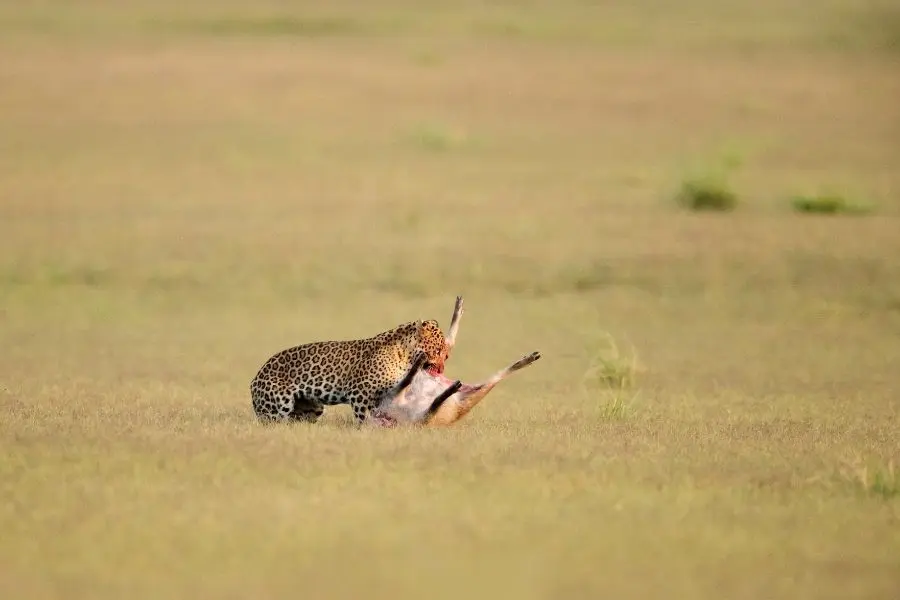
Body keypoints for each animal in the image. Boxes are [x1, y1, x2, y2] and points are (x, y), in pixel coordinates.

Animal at [250, 317, 451, 425]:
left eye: (446, 355)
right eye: (438, 351)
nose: (441, 369)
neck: (405, 357)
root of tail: (255, 378)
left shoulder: (384, 396)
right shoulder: (360, 393)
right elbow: (364, 419)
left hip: (312, 408)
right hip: (278, 405)